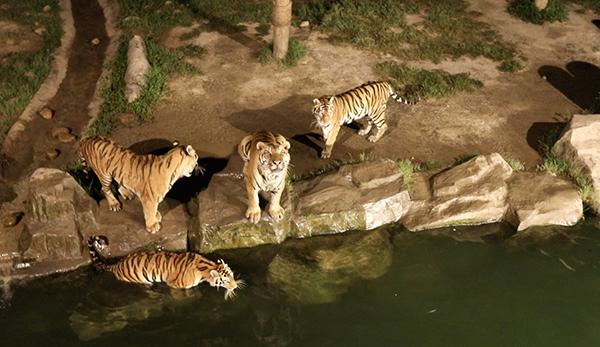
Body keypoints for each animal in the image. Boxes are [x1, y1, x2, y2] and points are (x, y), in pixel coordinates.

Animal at [86, 235, 241, 300]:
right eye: (226, 280)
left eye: (232, 275)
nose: (235, 287)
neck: (206, 267)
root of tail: (117, 265)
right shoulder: (174, 285)